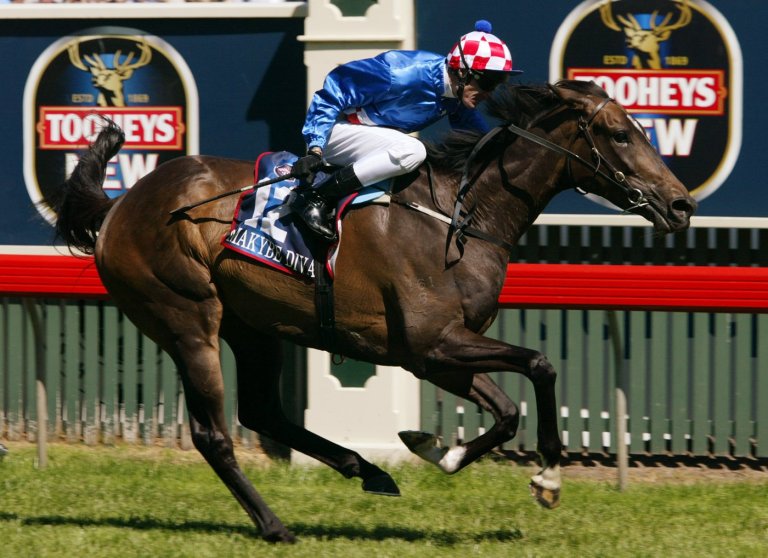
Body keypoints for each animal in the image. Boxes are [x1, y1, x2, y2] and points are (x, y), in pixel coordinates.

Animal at [54, 80, 695, 543]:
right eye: (618, 133)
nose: (681, 204)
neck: (459, 217)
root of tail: (119, 205)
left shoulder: (438, 355)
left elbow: (508, 410)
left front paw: (437, 448)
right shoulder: (433, 342)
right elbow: (540, 364)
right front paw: (547, 476)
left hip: (252, 326)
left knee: (262, 411)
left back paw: (366, 469)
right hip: (188, 320)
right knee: (213, 433)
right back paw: (275, 526)